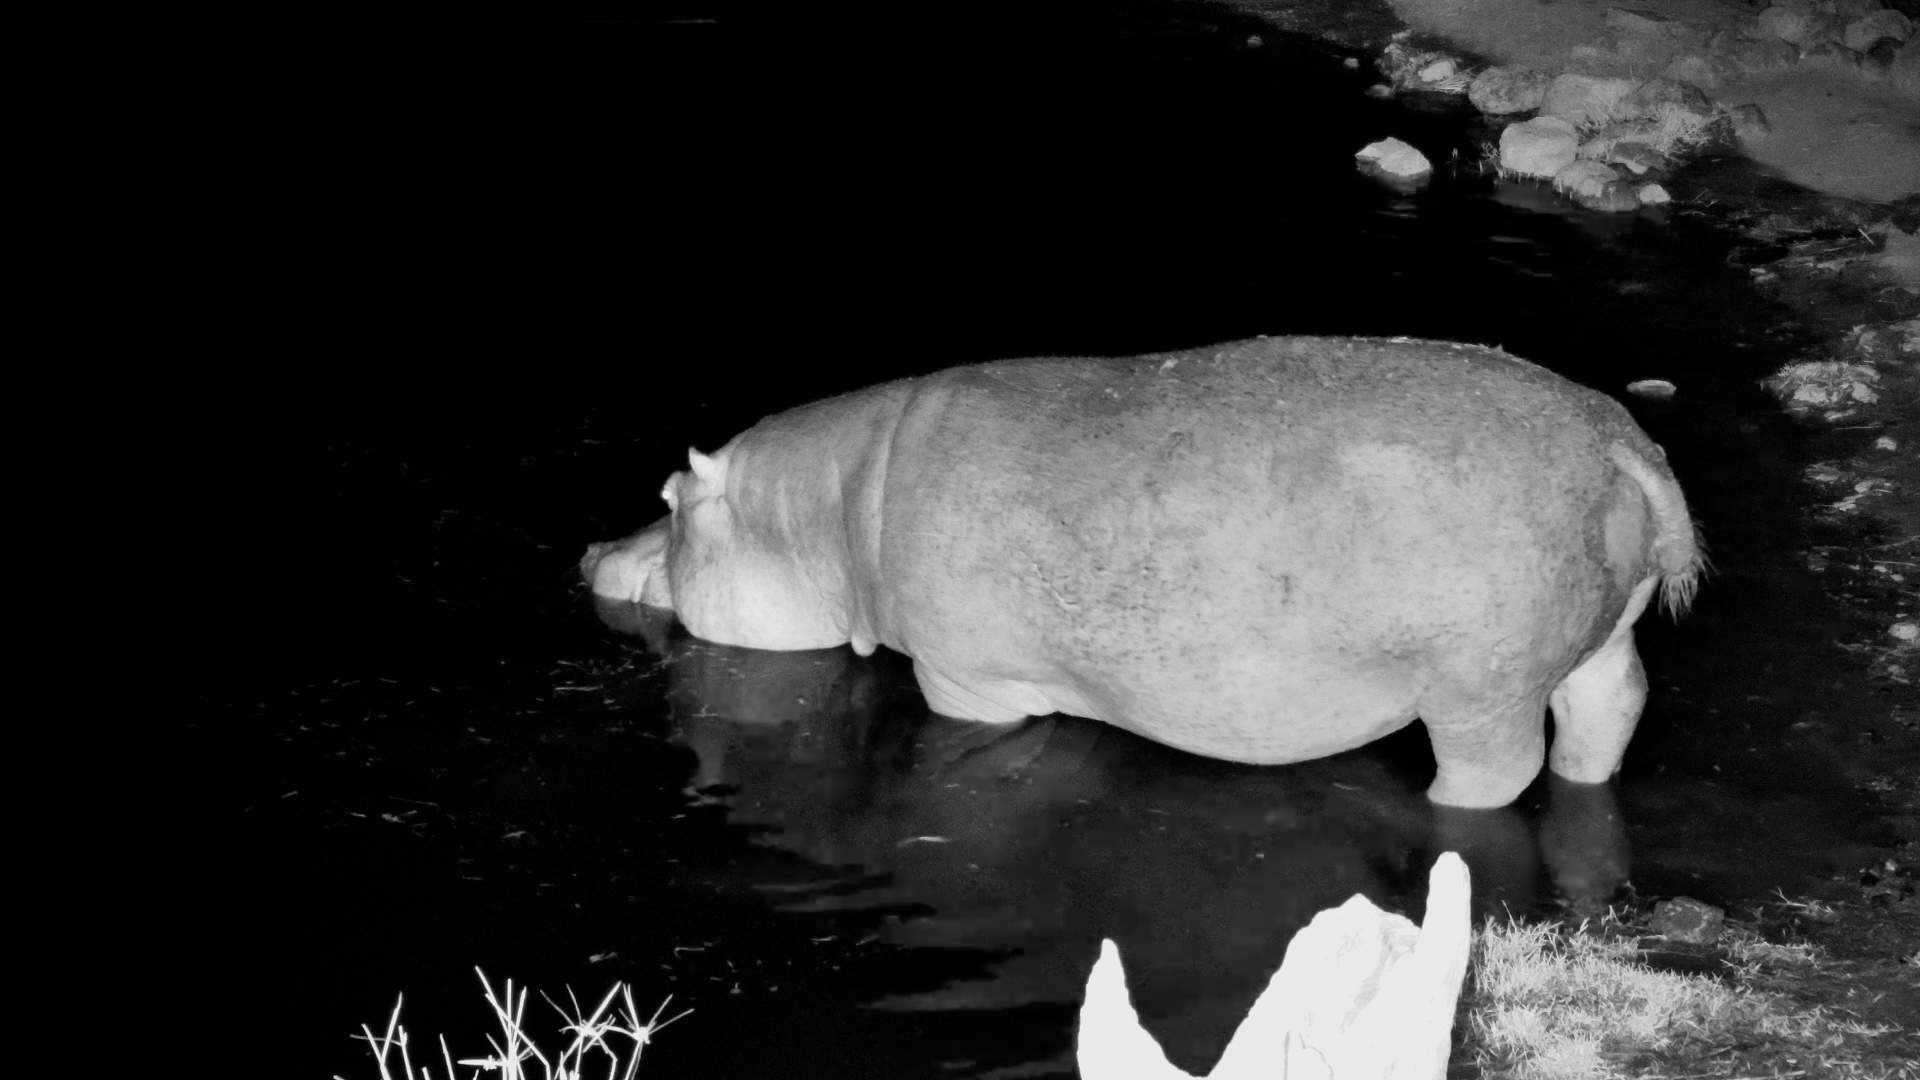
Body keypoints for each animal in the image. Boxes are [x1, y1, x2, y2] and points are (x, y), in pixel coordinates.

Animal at [583, 336, 1701, 808]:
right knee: (1610, 712)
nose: (593, 549)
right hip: (1597, 642)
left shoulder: (963, 679)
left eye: (669, 501)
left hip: (1479, 690)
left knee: (1494, 772)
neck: (826, 510)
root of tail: (1621, 446)